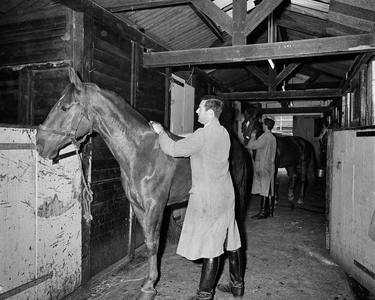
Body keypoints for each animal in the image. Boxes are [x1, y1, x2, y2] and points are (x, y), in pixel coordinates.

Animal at [33, 68, 248, 300]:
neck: (140, 153)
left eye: (64, 107)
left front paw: (149, 286)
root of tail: (238, 146)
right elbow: (147, 240)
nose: (39, 144)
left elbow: (154, 244)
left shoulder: (155, 206)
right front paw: (148, 281)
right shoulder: (138, 206)